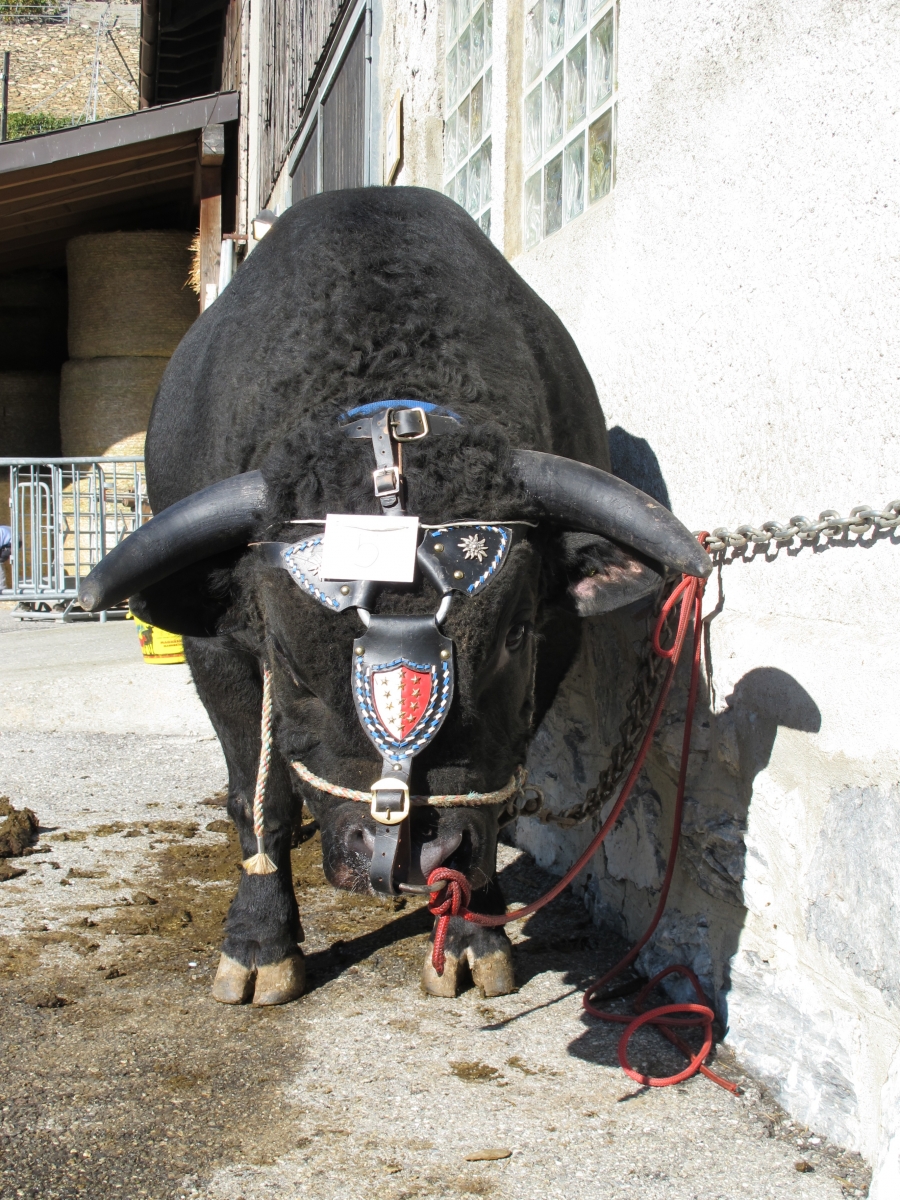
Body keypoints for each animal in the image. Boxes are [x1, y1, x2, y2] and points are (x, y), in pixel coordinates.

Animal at [81, 187, 710, 1008]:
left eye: (513, 638)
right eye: (288, 656)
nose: (411, 853)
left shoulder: (552, 655)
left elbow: (494, 790)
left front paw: (474, 935)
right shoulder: (216, 649)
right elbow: (261, 801)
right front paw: (259, 945)